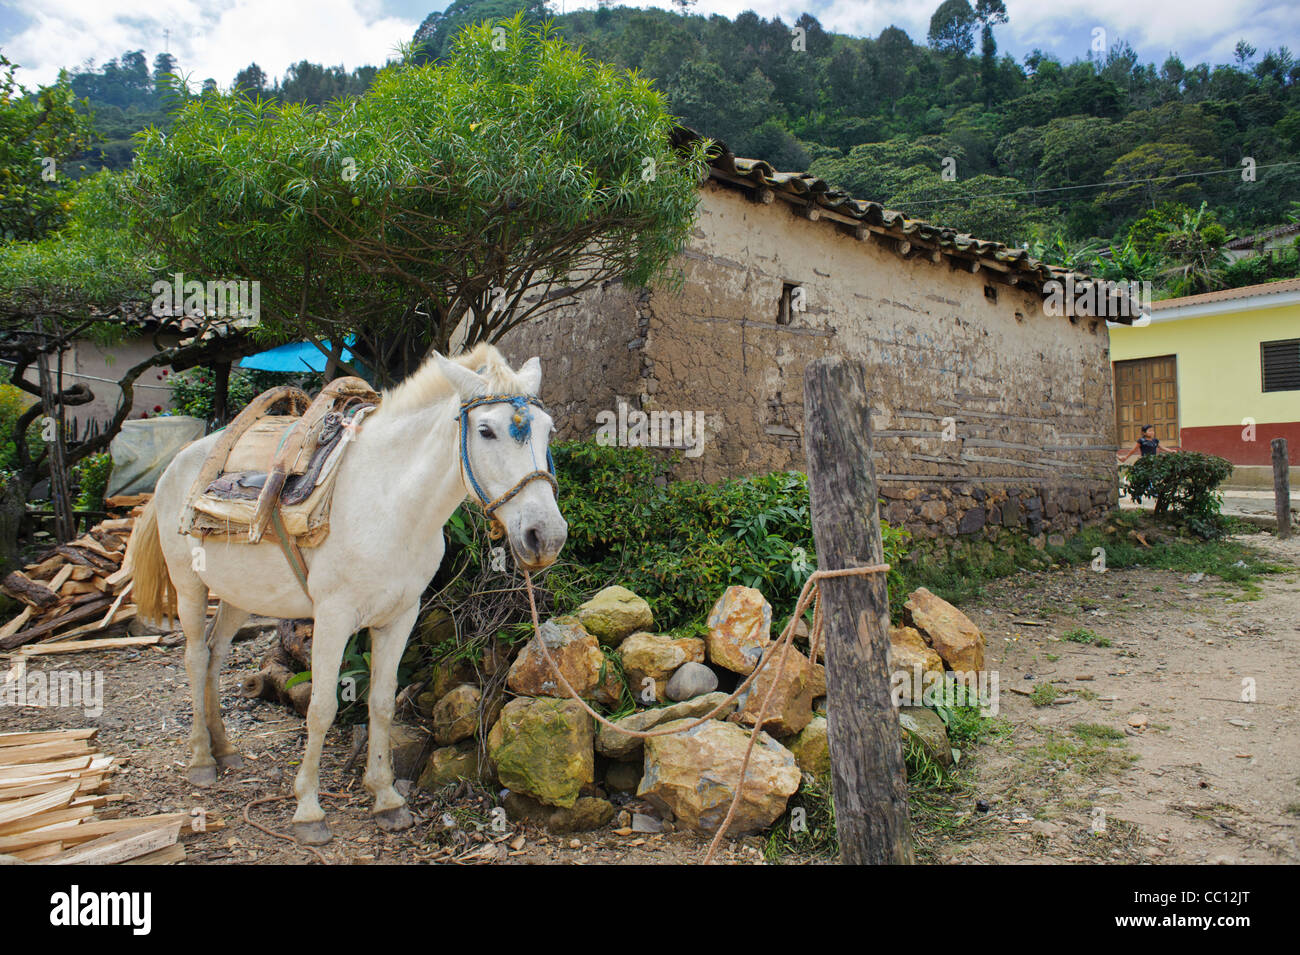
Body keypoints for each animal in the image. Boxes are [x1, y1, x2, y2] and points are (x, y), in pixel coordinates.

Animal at [125, 345, 567, 845]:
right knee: (197, 657)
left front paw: (386, 798)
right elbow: (322, 707)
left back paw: (225, 749)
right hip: (190, 586)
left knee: (217, 656)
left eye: (548, 430)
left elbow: (382, 702)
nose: (546, 536)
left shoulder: (400, 616)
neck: (391, 502)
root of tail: (178, 463)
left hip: (238, 594)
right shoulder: (334, 617)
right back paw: (202, 760)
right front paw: (308, 810)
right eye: (486, 430)